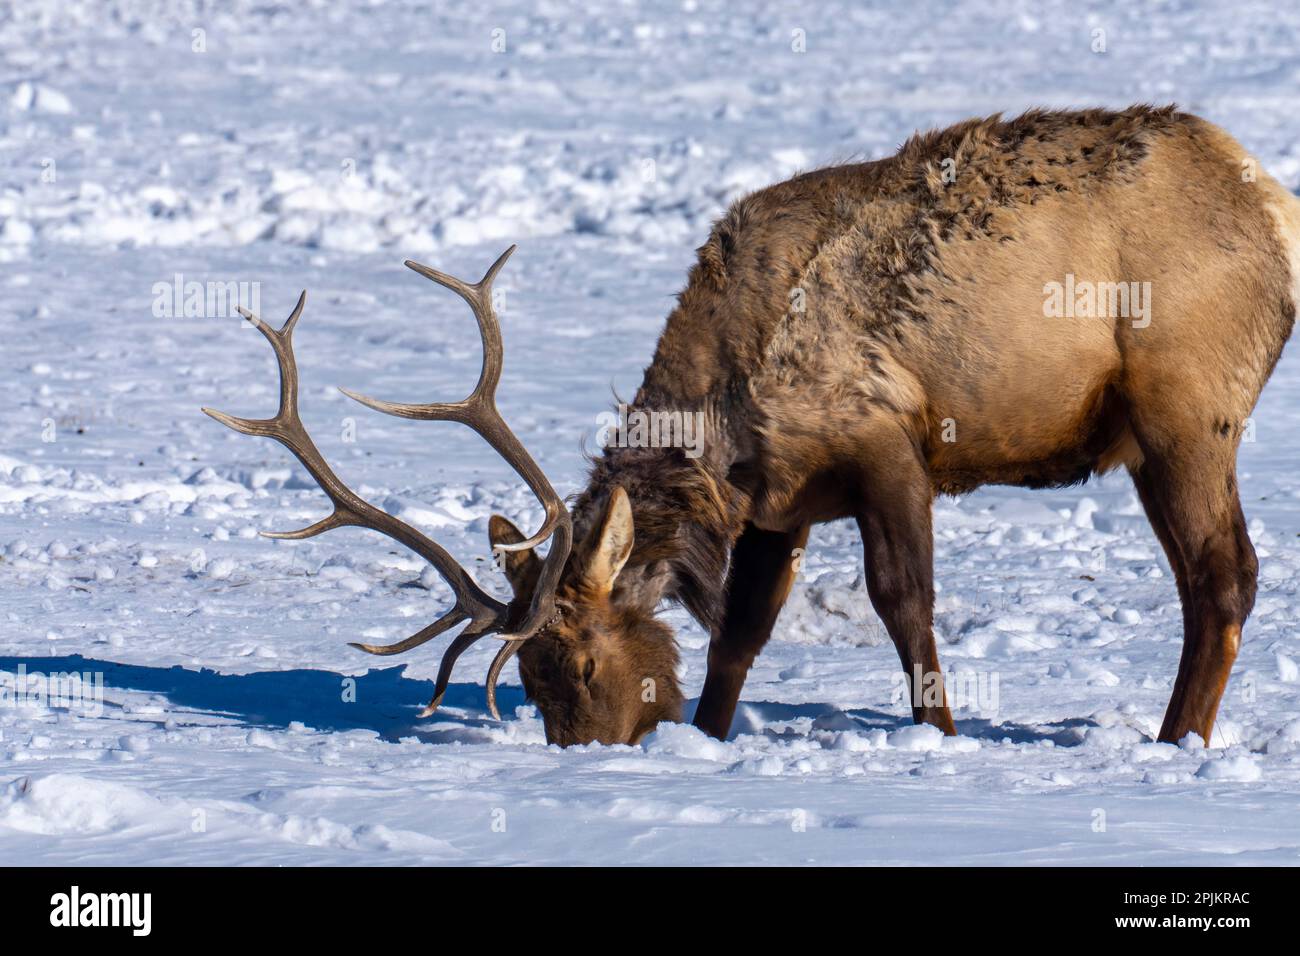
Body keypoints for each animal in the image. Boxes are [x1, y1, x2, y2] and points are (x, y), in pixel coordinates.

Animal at [202, 104, 1289, 749]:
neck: (722, 430)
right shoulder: (782, 498)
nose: (588, 756)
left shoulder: (885, 442)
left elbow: (904, 603)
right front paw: (711, 737)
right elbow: (739, 627)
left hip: (1184, 409)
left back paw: (1177, 741)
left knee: (1223, 575)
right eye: (534, 686)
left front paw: (937, 739)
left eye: (580, 662)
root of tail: (1278, 205)